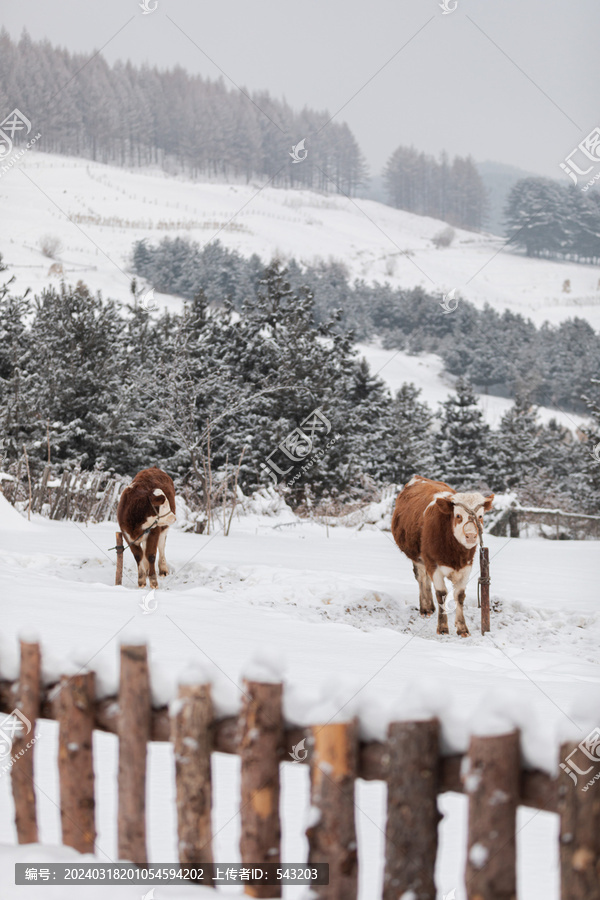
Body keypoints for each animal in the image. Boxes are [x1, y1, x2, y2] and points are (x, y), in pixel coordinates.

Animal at [392, 474, 494, 636]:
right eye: (458, 515)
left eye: (480, 516)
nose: (471, 536)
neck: (455, 554)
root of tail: (419, 477)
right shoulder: (433, 565)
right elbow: (442, 594)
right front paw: (443, 627)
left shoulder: (466, 567)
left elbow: (459, 595)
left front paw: (462, 628)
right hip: (418, 558)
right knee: (421, 579)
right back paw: (426, 608)